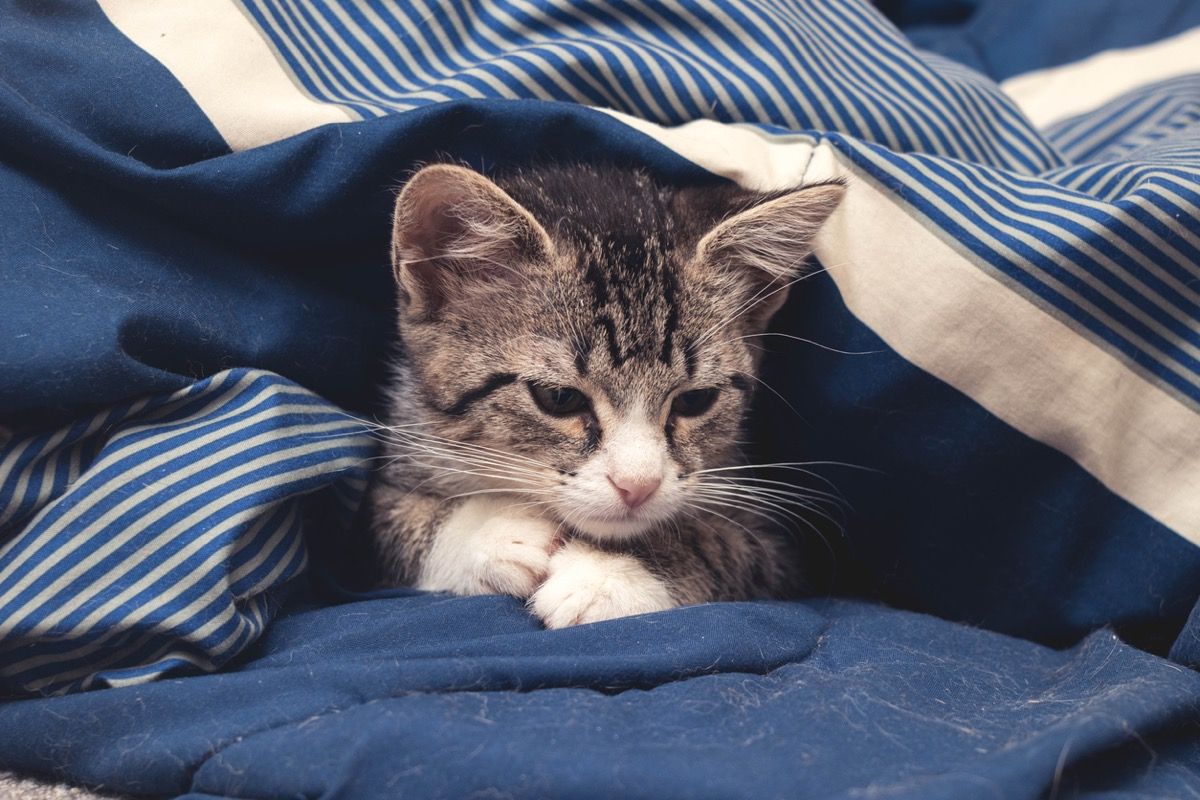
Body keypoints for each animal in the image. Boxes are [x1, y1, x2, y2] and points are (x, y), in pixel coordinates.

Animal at [364, 160, 844, 623]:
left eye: (694, 400)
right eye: (559, 398)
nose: (638, 486)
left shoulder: (781, 554)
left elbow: (725, 545)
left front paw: (608, 573)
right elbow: (391, 520)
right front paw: (490, 535)